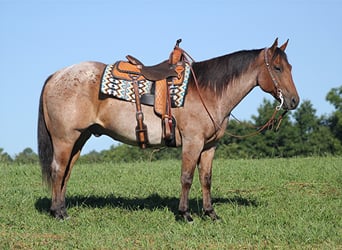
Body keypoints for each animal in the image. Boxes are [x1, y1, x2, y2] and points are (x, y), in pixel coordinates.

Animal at [38, 38, 300, 222]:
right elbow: (187, 177)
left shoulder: (209, 146)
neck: (207, 91)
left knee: (66, 172)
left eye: (290, 66)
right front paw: (185, 214)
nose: (294, 101)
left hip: (79, 139)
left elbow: (206, 178)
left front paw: (211, 213)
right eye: (277, 68)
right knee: (58, 170)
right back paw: (58, 213)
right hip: (65, 139)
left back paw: (62, 210)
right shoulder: (193, 142)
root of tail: (57, 75)